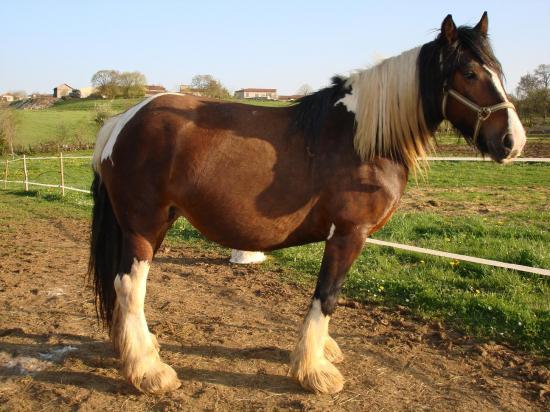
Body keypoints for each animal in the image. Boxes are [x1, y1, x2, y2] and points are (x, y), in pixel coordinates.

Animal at [89, 11, 528, 394]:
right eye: (469, 73)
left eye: (498, 72)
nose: (513, 141)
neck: (362, 139)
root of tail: (122, 121)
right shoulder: (349, 234)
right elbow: (327, 295)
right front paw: (314, 370)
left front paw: (322, 353)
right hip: (145, 225)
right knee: (130, 286)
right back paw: (149, 371)